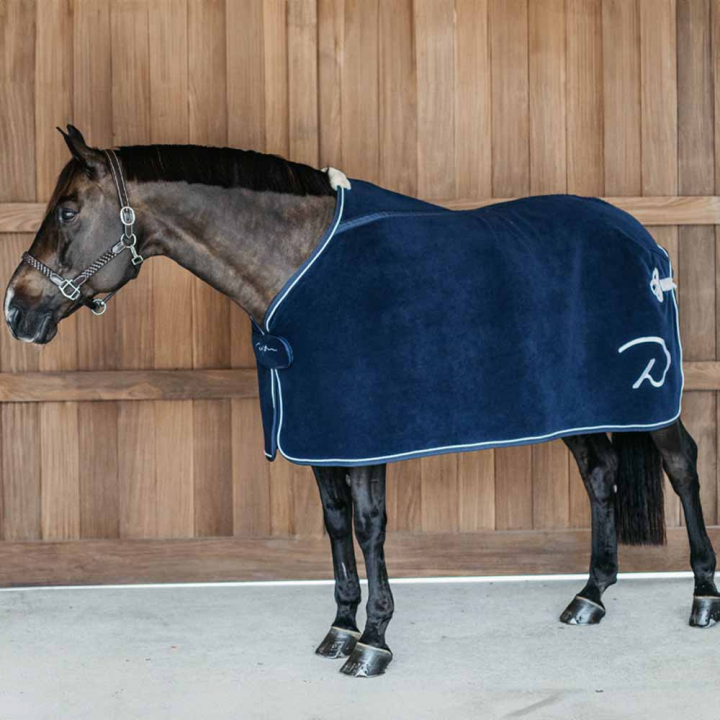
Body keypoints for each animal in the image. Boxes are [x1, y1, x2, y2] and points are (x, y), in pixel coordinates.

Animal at [4, 125, 718, 678]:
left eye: (68, 211)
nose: (16, 309)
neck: (297, 265)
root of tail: (641, 238)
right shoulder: (319, 431)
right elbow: (335, 523)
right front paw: (341, 628)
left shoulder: (363, 431)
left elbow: (371, 526)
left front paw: (374, 641)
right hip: (577, 405)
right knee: (600, 475)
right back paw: (590, 596)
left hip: (649, 400)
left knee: (681, 464)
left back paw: (703, 596)